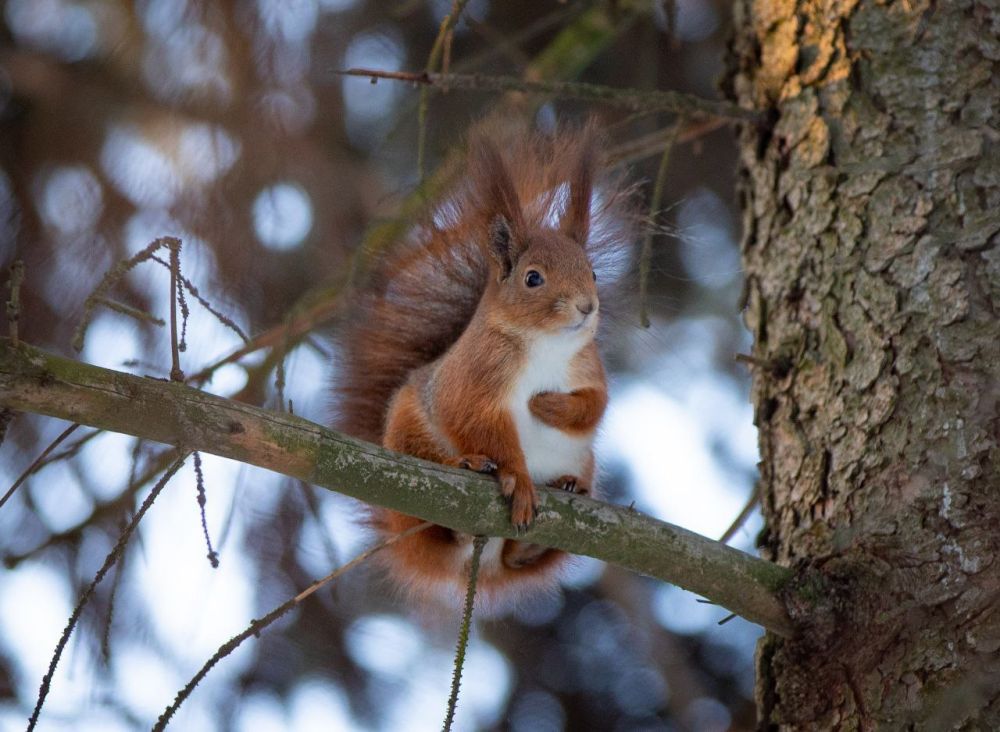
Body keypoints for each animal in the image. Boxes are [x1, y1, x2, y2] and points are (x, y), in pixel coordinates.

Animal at [334, 120, 632, 608]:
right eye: (533, 278)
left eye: (591, 272)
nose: (587, 307)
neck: (546, 345)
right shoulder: (476, 374)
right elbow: (475, 417)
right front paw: (518, 477)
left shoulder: (588, 367)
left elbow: (596, 404)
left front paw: (548, 406)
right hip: (407, 440)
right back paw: (468, 472)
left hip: (582, 462)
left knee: (517, 558)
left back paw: (555, 506)